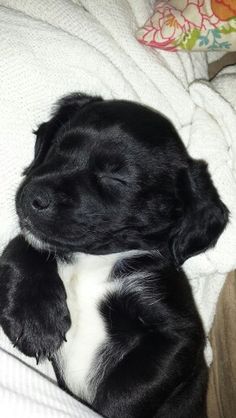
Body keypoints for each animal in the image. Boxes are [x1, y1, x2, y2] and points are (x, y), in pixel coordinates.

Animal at [0, 95, 229, 418]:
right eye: (56, 147)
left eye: (116, 177)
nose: (31, 196)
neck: (93, 260)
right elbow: (20, 245)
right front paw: (34, 320)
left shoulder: (178, 335)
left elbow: (126, 394)